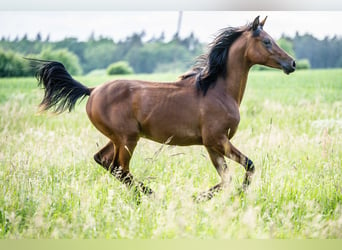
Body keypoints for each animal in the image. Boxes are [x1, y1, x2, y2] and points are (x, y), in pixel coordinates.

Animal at [29, 16, 296, 201]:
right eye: (267, 41)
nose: (291, 63)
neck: (217, 90)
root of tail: (92, 90)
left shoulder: (212, 145)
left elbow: (227, 178)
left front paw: (201, 197)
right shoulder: (218, 140)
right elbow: (247, 167)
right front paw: (210, 197)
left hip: (117, 138)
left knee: (104, 161)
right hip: (128, 138)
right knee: (120, 168)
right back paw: (151, 195)